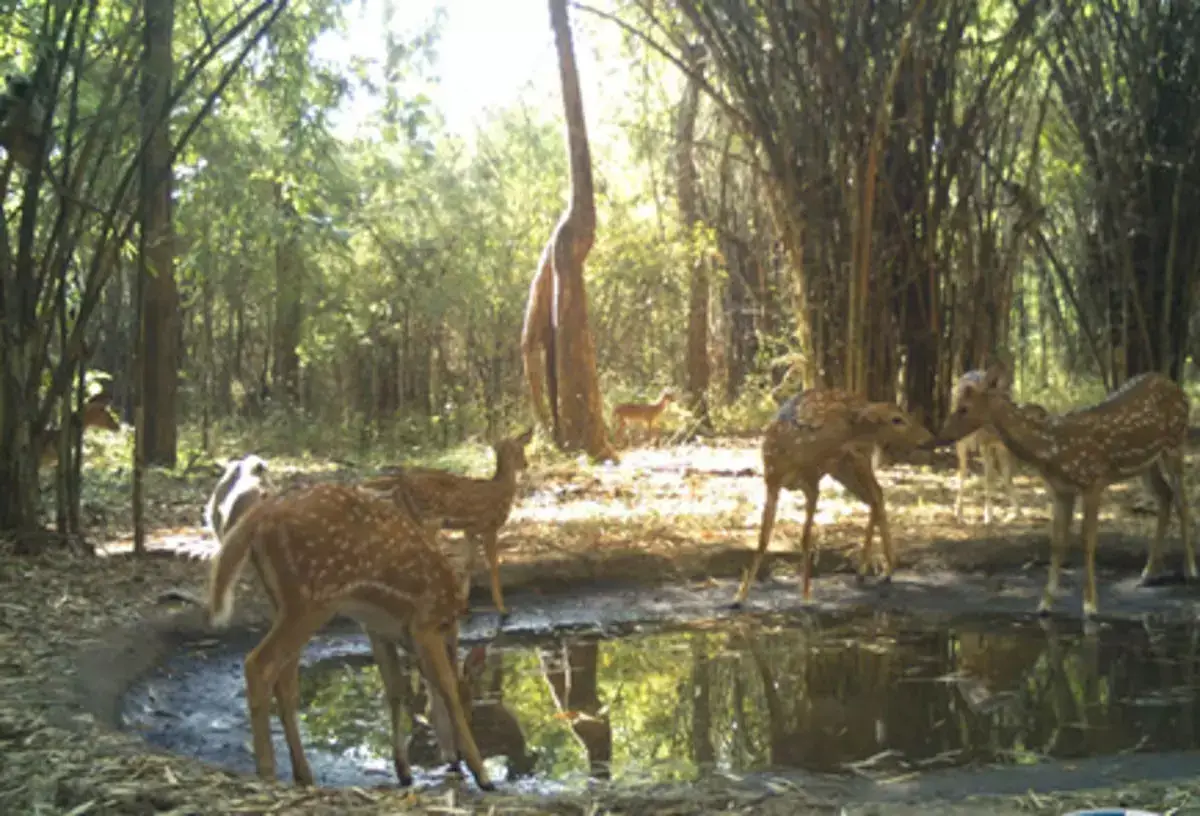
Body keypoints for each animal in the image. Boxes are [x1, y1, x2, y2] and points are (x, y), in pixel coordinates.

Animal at [206, 458, 492, 792]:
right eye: (471, 707)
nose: (454, 758)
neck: (449, 622)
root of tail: (261, 516)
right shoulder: (425, 623)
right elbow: (445, 688)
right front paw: (482, 774)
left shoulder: (380, 628)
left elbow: (396, 688)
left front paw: (403, 770)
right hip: (312, 600)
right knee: (258, 664)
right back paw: (267, 771)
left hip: (284, 601)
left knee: (284, 680)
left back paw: (303, 774)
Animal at [729, 388, 936, 604]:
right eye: (897, 419)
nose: (928, 437)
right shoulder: (771, 482)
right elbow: (762, 539)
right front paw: (739, 597)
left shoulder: (812, 484)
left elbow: (805, 538)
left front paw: (806, 597)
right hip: (844, 468)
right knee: (874, 497)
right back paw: (870, 573)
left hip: (855, 461)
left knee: (876, 494)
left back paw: (881, 571)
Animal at [931, 362, 1195, 619]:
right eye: (957, 403)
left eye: (964, 408)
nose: (941, 435)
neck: (1051, 448)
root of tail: (1177, 388)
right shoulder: (1060, 491)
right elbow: (1057, 542)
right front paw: (1044, 604)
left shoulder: (1093, 481)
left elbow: (1087, 540)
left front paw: (1090, 606)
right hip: (1147, 463)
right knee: (1165, 495)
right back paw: (1148, 572)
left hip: (1175, 442)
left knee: (1182, 501)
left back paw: (1190, 570)